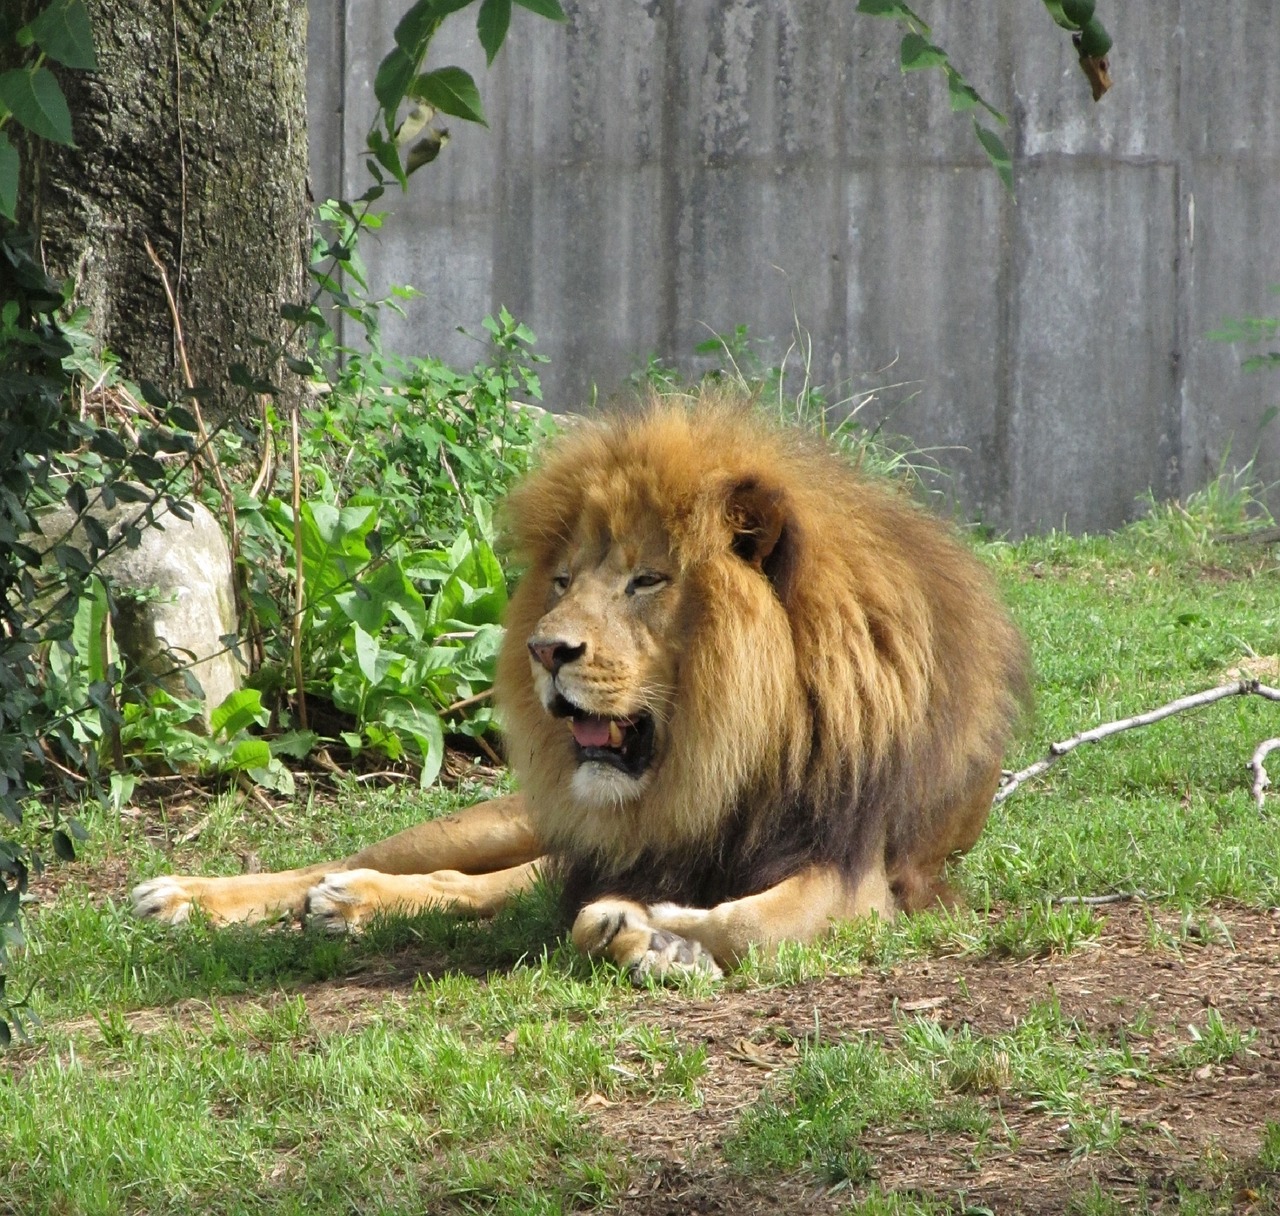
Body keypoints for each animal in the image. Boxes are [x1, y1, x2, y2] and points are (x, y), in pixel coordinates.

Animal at [132, 394, 1029, 983]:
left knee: (473, 889)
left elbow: (750, 922)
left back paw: (347, 906)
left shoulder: (861, 867)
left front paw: (659, 937)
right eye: (563, 581)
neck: (731, 751)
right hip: (498, 821)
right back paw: (195, 896)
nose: (544, 649)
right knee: (365, 860)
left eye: (646, 580)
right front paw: (649, 931)